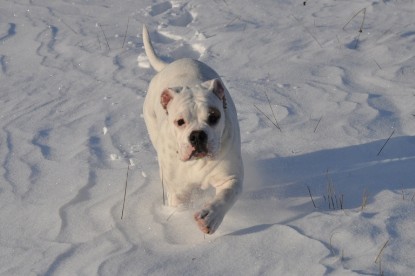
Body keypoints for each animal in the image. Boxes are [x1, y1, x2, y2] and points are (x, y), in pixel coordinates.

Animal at [142, 25, 244, 234]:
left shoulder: (231, 177)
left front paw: (209, 217)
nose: (197, 135)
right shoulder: (179, 193)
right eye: (180, 121)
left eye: (213, 117)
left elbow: (225, 196)